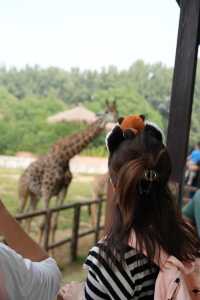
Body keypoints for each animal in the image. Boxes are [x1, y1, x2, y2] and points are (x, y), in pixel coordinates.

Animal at [18, 101, 118, 246]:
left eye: (116, 110)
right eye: (106, 111)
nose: (116, 119)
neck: (65, 157)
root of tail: (22, 176)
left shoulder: (62, 191)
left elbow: (54, 224)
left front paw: (52, 248)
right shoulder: (47, 192)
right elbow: (43, 224)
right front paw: (44, 246)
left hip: (34, 196)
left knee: (28, 217)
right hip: (23, 193)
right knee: (20, 215)